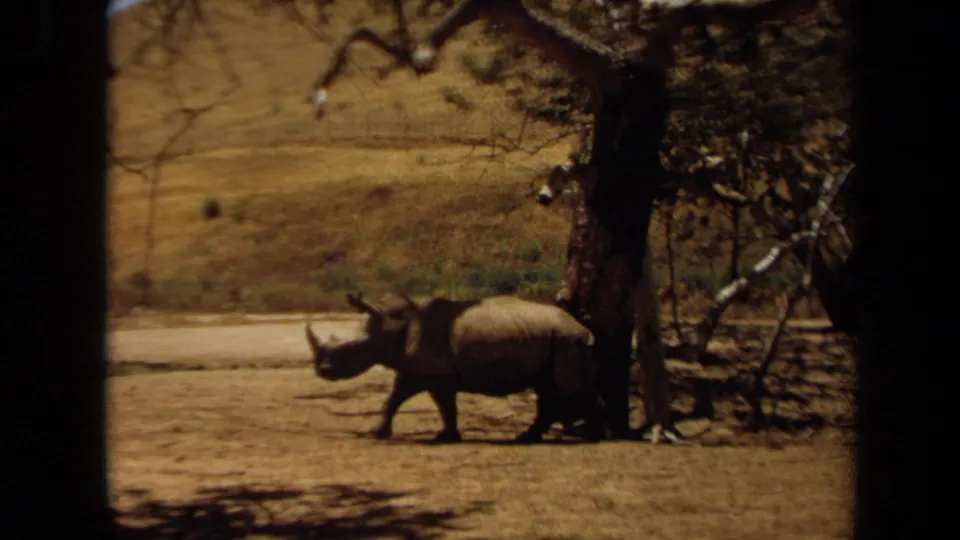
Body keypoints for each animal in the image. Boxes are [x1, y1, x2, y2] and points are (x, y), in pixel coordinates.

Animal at [305, 292, 608, 443]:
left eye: (351, 350)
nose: (322, 370)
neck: (391, 325)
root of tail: (580, 326)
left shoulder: (438, 375)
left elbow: (445, 406)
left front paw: (445, 437)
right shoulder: (414, 370)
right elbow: (393, 399)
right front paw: (377, 433)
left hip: (566, 340)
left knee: (568, 387)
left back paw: (595, 436)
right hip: (553, 339)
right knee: (547, 388)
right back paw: (527, 437)